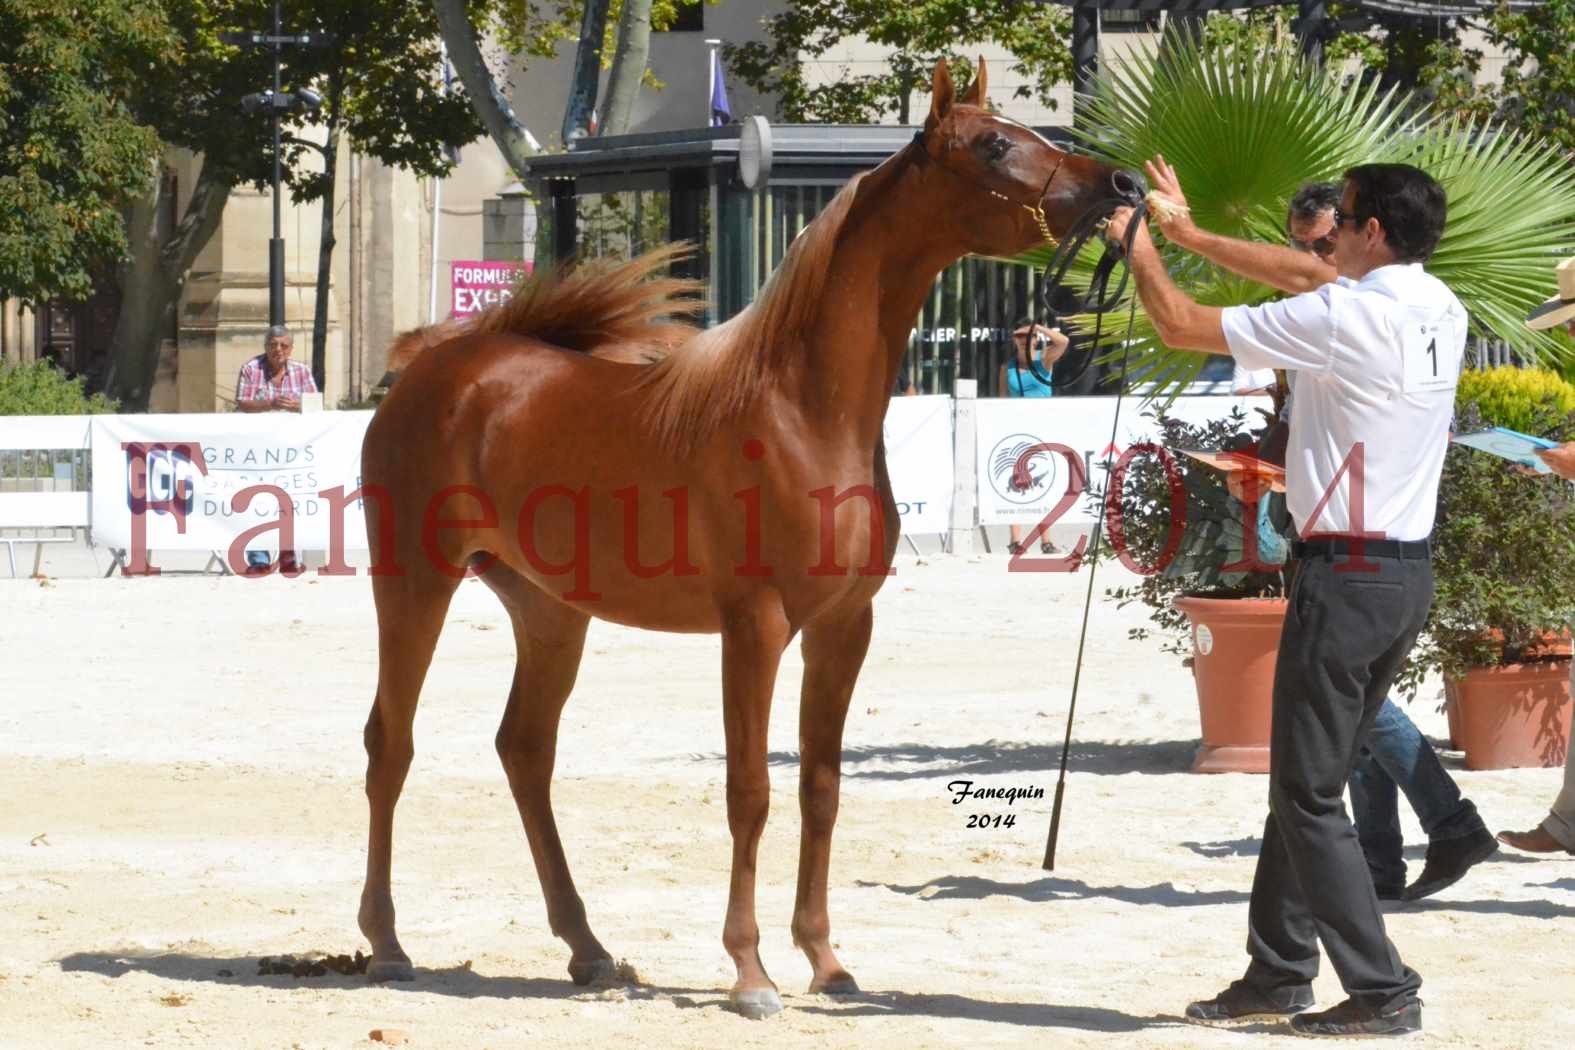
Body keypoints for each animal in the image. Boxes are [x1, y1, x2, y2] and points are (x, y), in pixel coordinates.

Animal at [359, 59, 1146, 1020]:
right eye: (994, 144)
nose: (1120, 186)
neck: (800, 410)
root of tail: (438, 365)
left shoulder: (844, 627)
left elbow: (819, 787)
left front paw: (826, 961)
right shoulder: (755, 626)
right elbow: (751, 791)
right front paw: (750, 973)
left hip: (549, 613)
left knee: (525, 751)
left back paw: (588, 949)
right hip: (415, 586)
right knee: (390, 745)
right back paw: (387, 943)